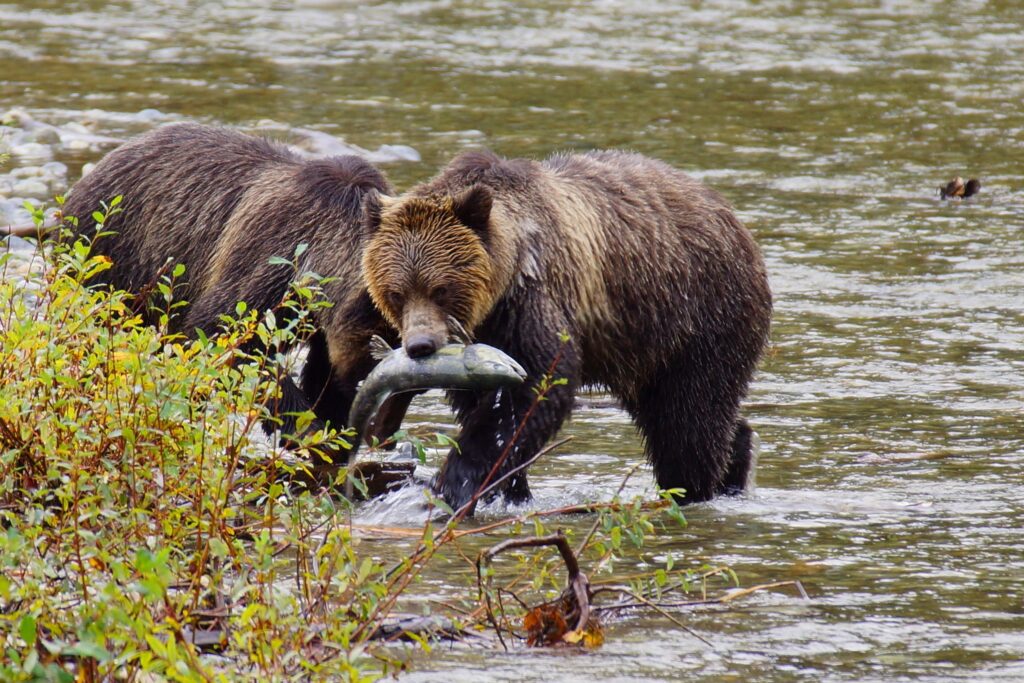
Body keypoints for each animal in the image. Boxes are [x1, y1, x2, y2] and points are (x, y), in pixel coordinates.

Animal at [61, 124, 401, 448]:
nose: (386, 431)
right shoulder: (272, 259)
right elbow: (226, 336)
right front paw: (307, 426)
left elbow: (324, 373)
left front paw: (332, 426)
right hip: (112, 263)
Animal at [364, 149, 770, 511]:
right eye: (396, 292)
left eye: (441, 289)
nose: (420, 345)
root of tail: (735, 220)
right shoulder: (485, 338)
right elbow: (479, 402)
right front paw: (510, 488)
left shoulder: (533, 301)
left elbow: (537, 387)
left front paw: (455, 482)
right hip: (644, 346)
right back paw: (738, 457)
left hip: (699, 316)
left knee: (689, 421)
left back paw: (695, 487)